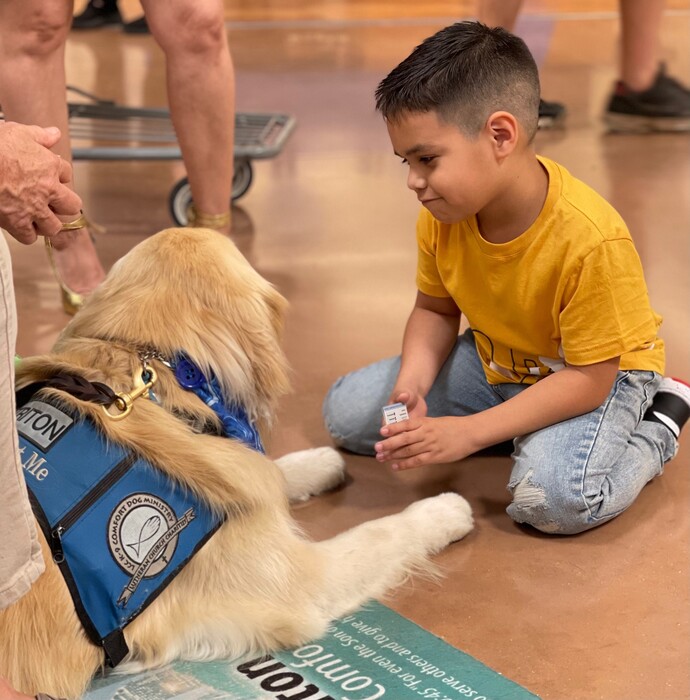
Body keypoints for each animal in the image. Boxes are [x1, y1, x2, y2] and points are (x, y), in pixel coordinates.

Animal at [0, 230, 472, 700]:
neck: (156, 389)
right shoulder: (299, 585)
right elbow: (381, 532)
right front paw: (443, 511)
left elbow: (274, 472)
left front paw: (320, 461)